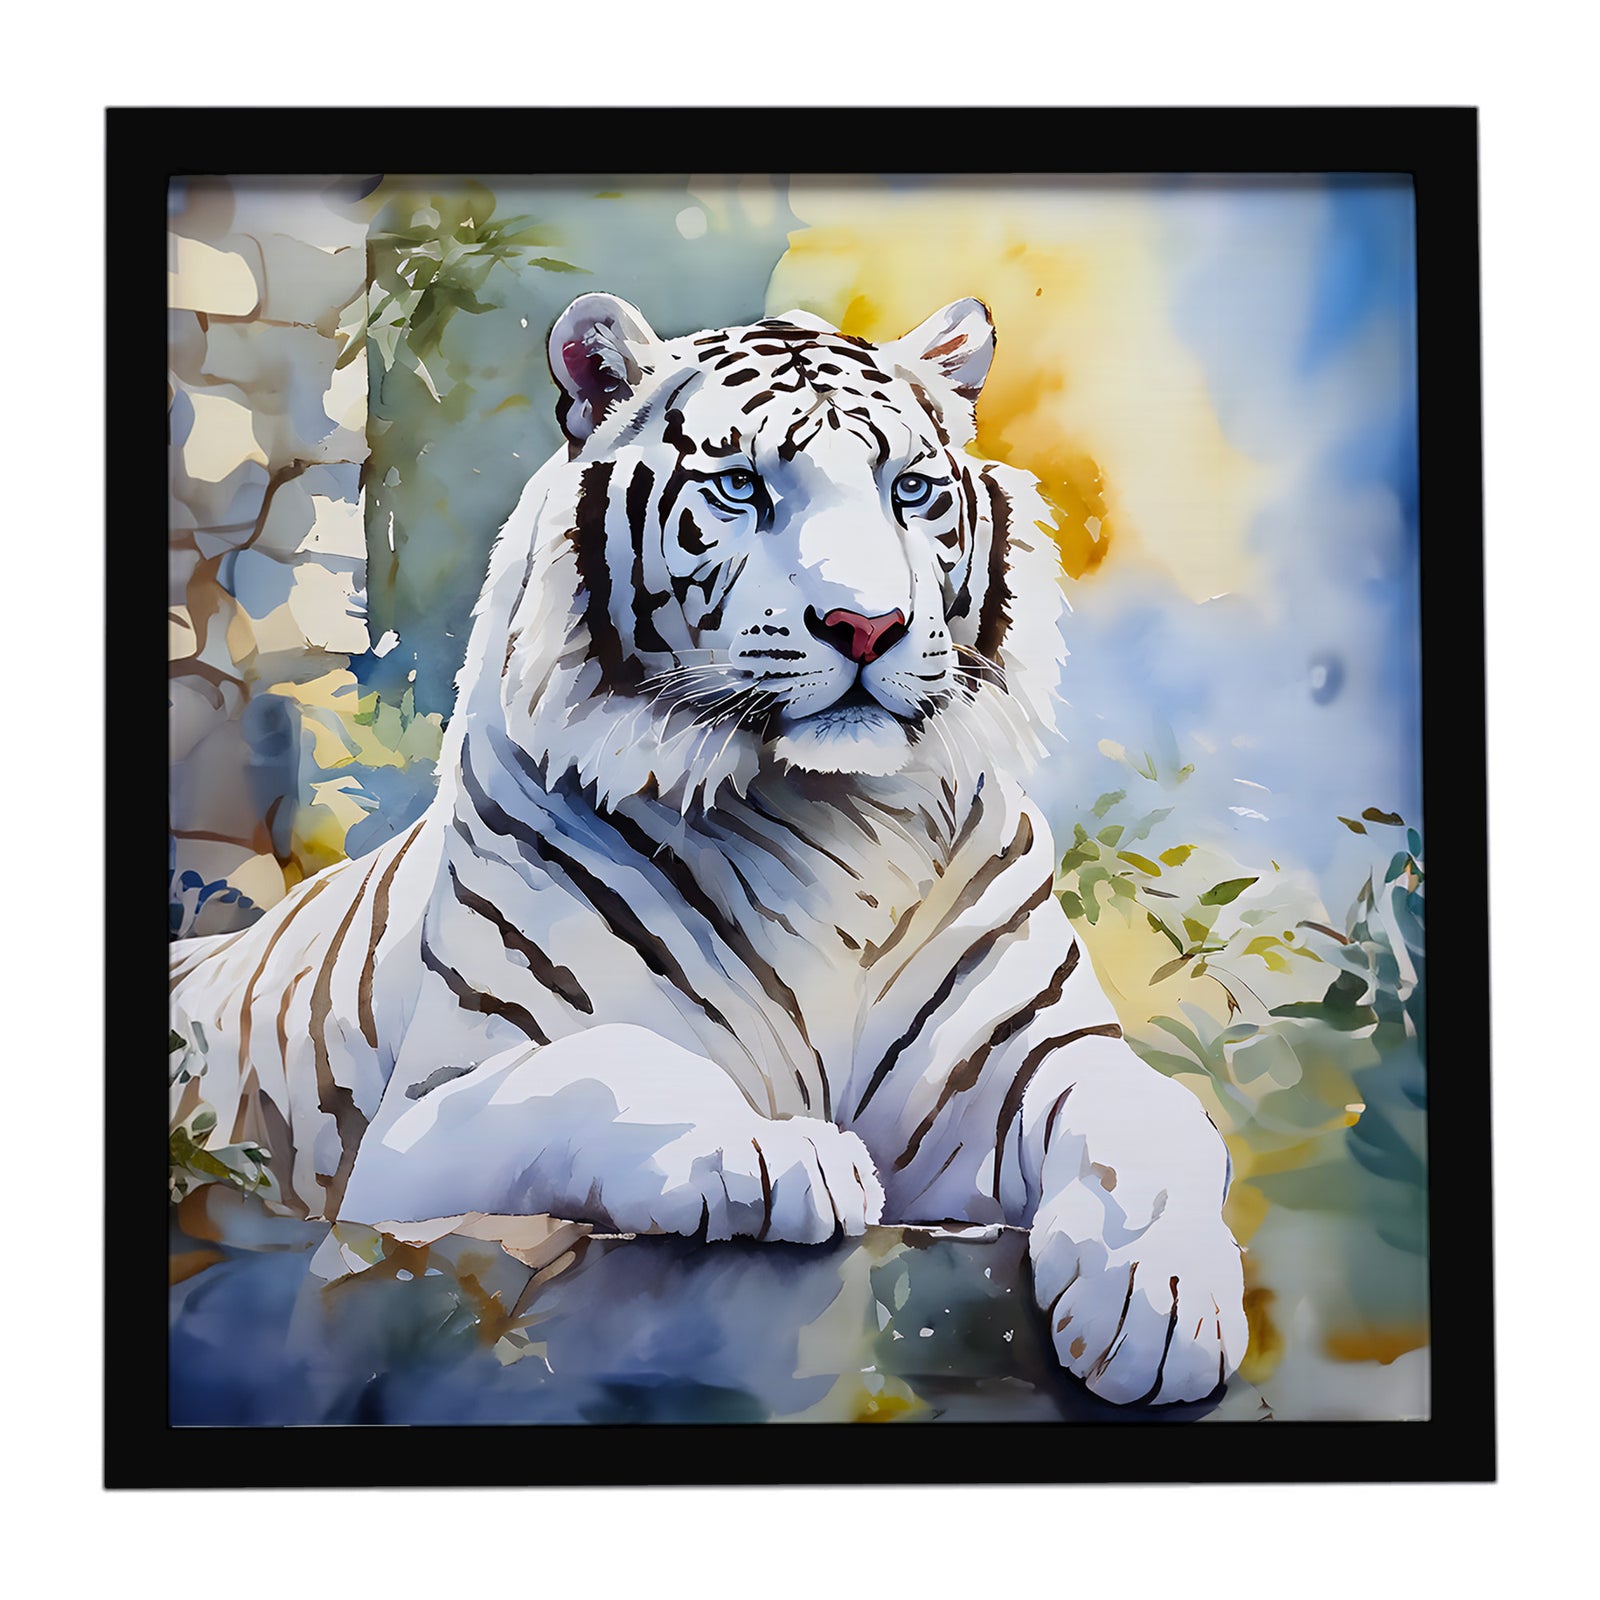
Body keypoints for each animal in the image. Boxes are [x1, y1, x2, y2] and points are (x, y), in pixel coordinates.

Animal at [170, 291, 1248, 1406]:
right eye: (740, 487)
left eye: (909, 491)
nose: (868, 625)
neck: (835, 816)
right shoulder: (414, 1132)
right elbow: (610, 1064)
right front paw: (775, 1151)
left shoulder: (1027, 1057)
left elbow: (1153, 1114)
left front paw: (1162, 1306)